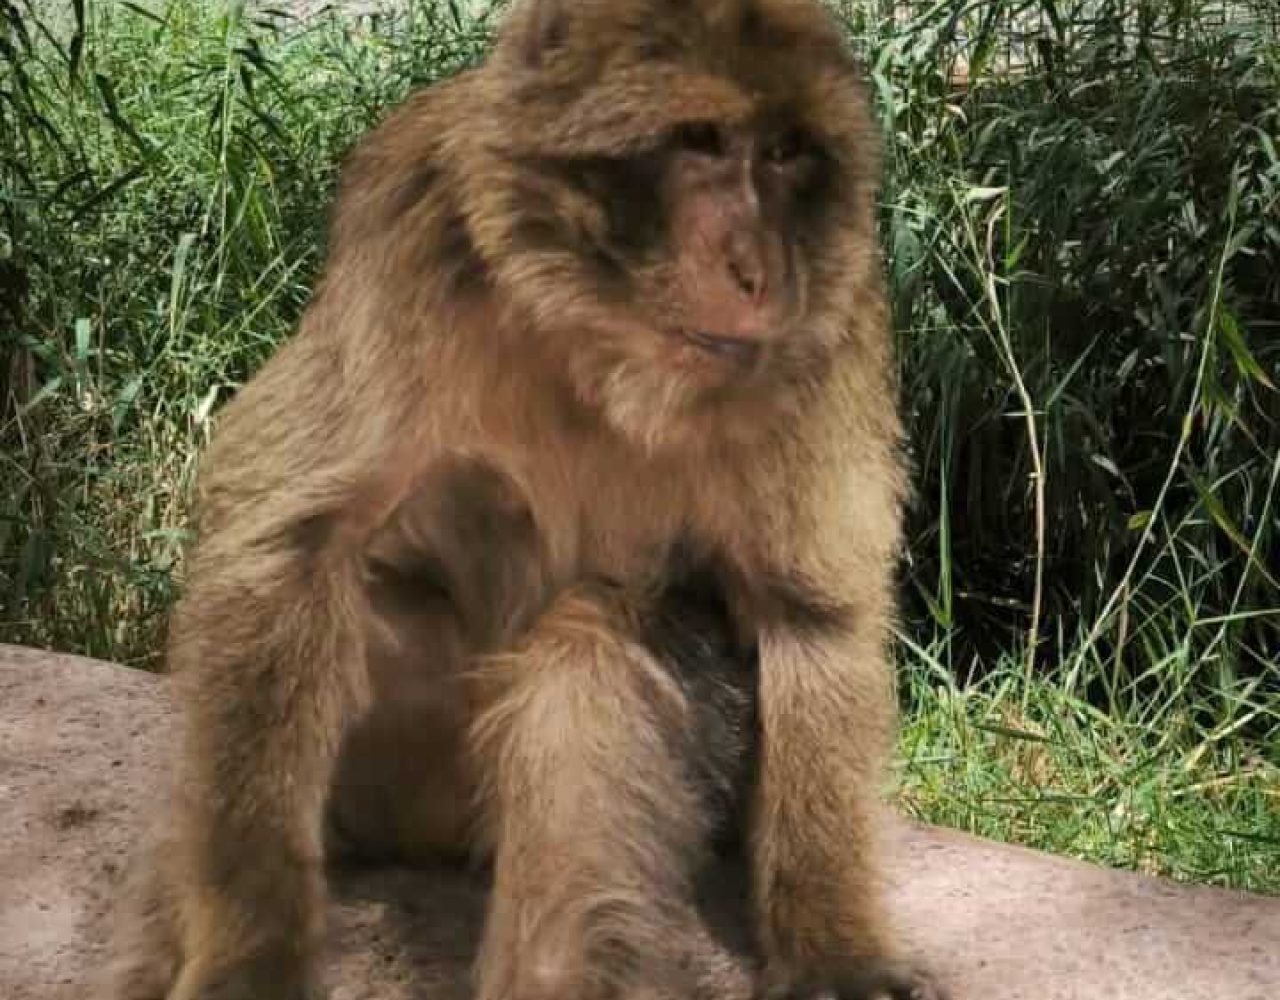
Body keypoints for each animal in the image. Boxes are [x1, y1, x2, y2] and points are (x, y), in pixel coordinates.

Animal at [102, 0, 943, 998]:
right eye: (701, 141)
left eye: (785, 153)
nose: (760, 268)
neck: (601, 339)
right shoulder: (414, 226)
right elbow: (289, 536)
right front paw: (249, 953)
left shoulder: (834, 321)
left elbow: (808, 611)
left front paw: (833, 948)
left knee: (596, 641)